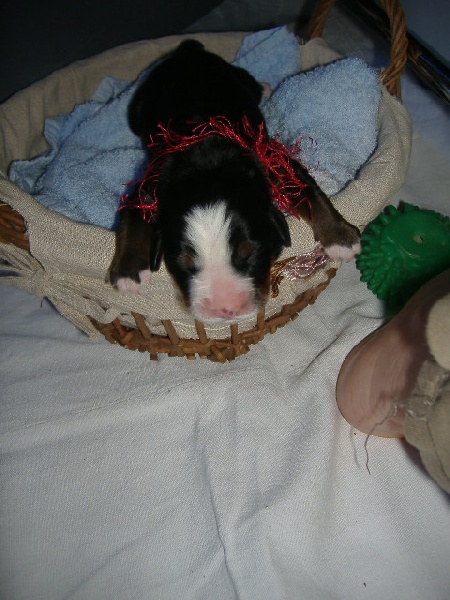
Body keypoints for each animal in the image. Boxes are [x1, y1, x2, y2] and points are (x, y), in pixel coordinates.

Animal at [109, 40, 360, 323]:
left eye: (249, 253)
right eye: (185, 264)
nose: (226, 309)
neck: (206, 163)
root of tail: (188, 51)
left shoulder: (271, 159)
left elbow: (310, 191)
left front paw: (340, 237)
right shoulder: (151, 181)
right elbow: (131, 211)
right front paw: (128, 271)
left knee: (249, 81)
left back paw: (264, 86)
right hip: (137, 108)